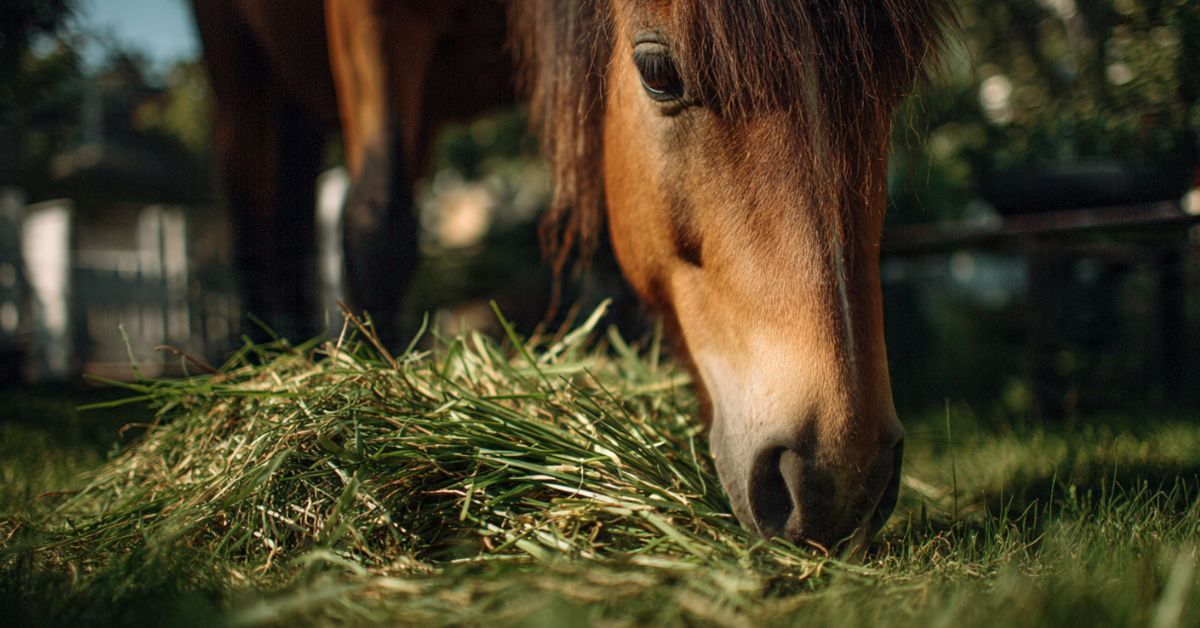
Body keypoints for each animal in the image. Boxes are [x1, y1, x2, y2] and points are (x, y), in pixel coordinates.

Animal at [192, 0, 951, 550]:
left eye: (900, 79)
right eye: (658, 71)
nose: (838, 477)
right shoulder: (370, 23)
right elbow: (379, 228)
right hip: (239, 67)